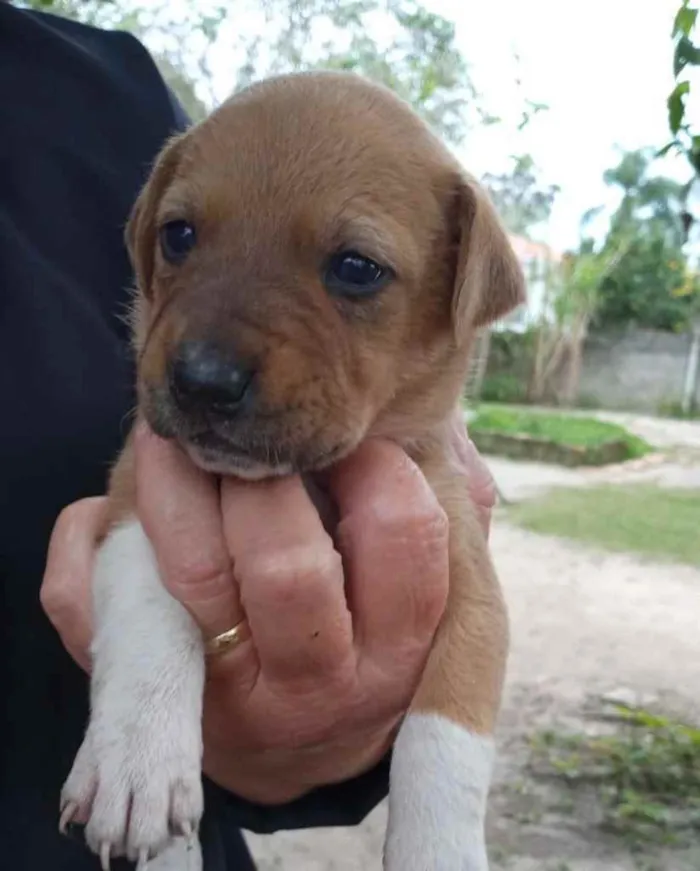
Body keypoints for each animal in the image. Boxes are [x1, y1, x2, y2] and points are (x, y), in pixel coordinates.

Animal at [60, 70, 524, 871]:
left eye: (357, 268)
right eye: (179, 235)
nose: (202, 381)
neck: (307, 478)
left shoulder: (465, 570)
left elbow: (446, 732)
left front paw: (437, 848)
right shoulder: (134, 503)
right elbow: (154, 612)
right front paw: (137, 760)